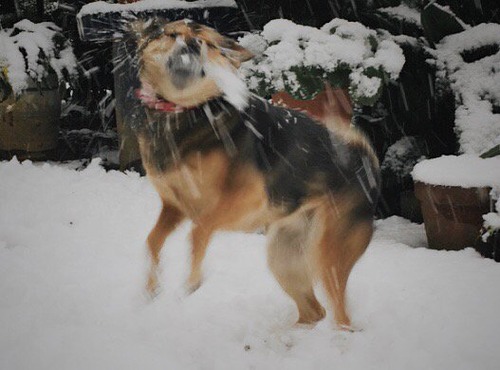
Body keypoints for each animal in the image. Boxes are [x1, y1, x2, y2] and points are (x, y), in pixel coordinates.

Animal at [132, 18, 378, 330]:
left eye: (206, 42)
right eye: (171, 34)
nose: (192, 45)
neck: (185, 111)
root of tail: (365, 163)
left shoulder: (246, 200)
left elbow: (199, 230)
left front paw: (193, 281)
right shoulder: (174, 206)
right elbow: (152, 241)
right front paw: (151, 287)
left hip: (328, 255)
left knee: (341, 318)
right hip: (283, 255)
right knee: (314, 312)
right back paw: (283, 334)